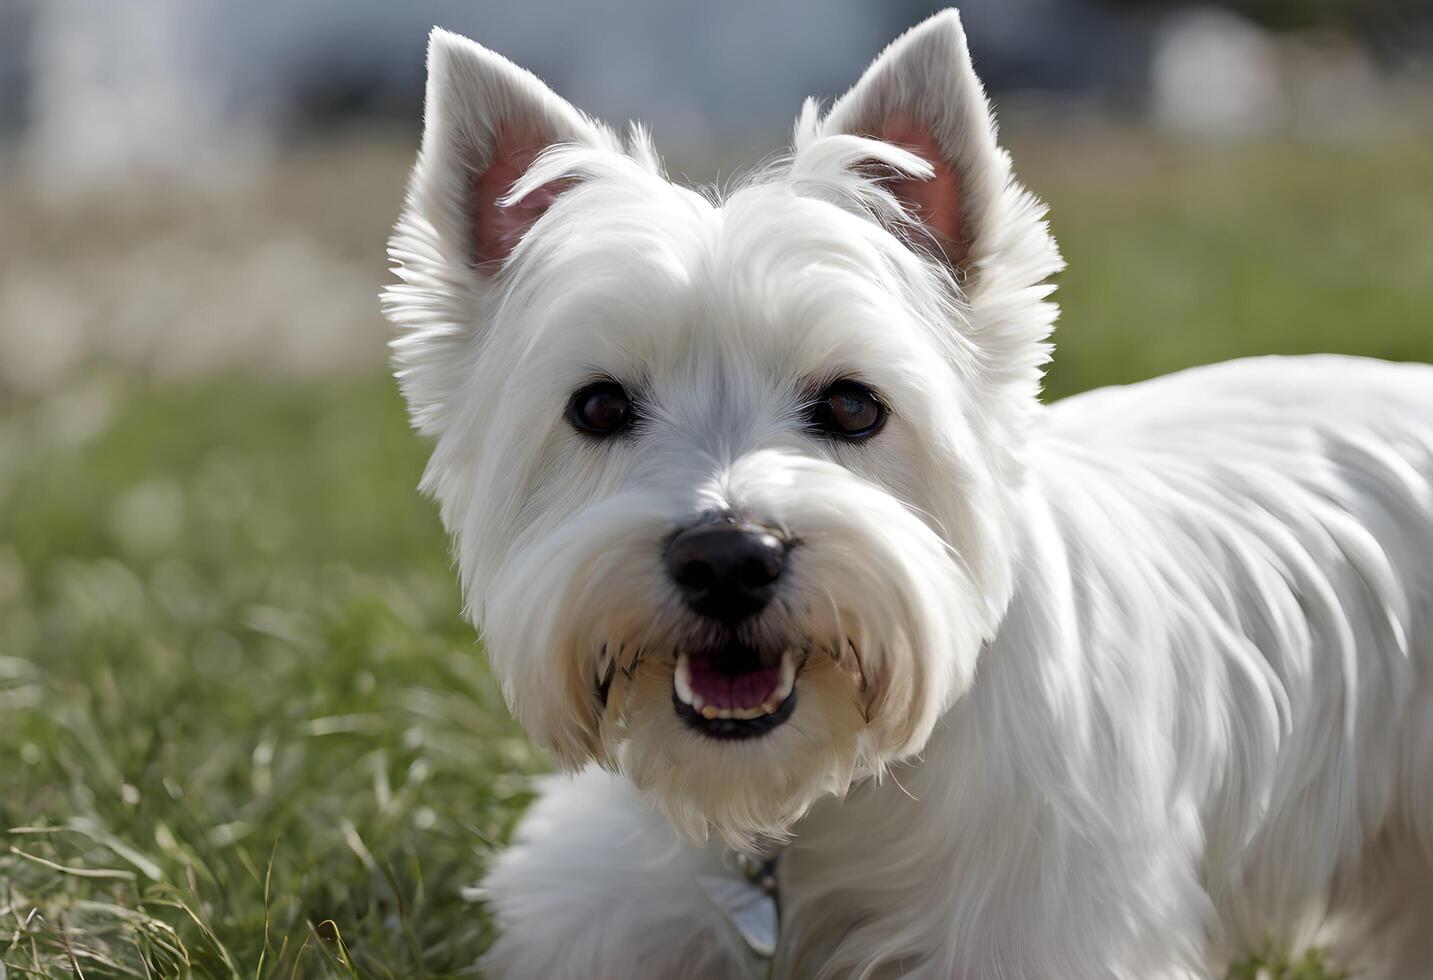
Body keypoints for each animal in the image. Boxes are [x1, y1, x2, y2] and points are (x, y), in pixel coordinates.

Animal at [384, 9, 1433, 980]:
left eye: (853, 405)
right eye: (597, 406)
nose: (728, 559)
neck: (814, 804)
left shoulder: (1041, 928)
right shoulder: (601, 910)